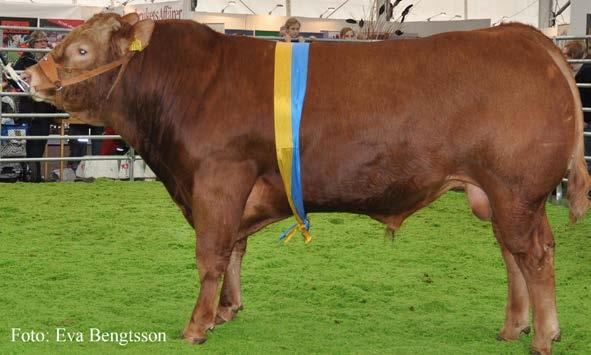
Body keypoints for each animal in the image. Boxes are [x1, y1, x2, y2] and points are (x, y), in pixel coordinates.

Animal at [25, 12, 588, 354]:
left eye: (81, 50)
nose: (29, 75)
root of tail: (520, 34)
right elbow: (234, 249)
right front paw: (228, 310)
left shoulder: (217, 179)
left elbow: (211, 254)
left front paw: (196, 325)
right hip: (502, 195)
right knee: (515, 253)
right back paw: (514, 326)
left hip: (515, 189)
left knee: (534, 256)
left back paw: (543, 336)